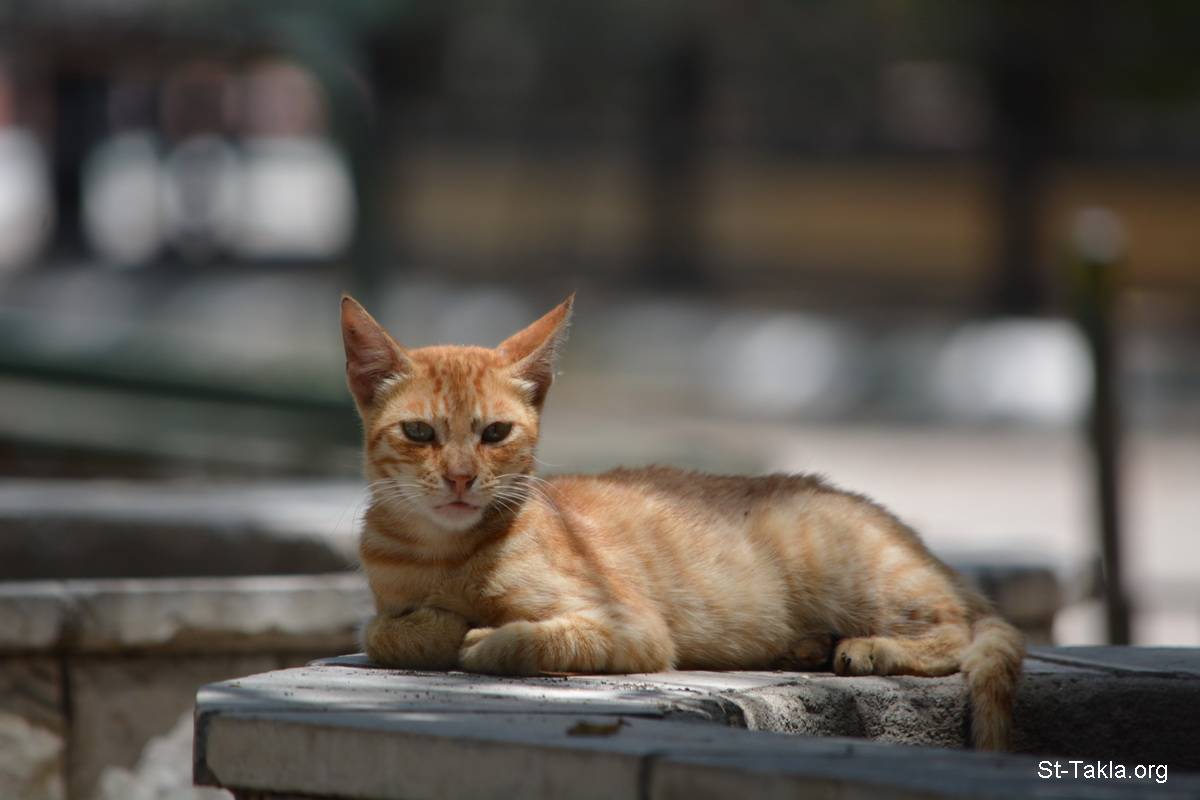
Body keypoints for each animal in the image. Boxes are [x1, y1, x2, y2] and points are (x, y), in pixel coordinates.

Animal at [341, 293, 1025, 751]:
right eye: (419, 433)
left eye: (495, 433)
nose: (460, 479)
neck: (442, 555)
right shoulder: (386, 606)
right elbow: (381, 632)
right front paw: (433, 625)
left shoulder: (633, 628)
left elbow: (514, 641)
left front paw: (480, 636)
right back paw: (804, 645)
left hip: (863, 578)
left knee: (959, 631)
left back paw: (870, 647)